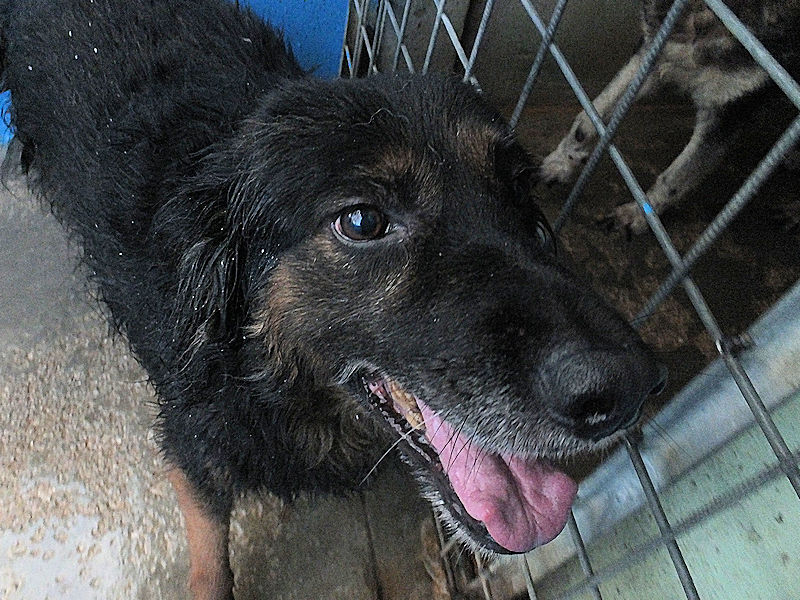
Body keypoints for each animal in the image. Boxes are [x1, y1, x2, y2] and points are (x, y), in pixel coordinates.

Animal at [1, 1, 667, 598]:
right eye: (362, 221)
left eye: (521, 190)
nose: (631, 386)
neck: (275, 380)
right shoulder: (196, 447)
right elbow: (211, 555)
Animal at [541, 0, 800, 234]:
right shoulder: (652, 53)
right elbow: (588, 121)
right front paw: (560, 163)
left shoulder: (728, 111)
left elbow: (673, 180)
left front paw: (638, 216)